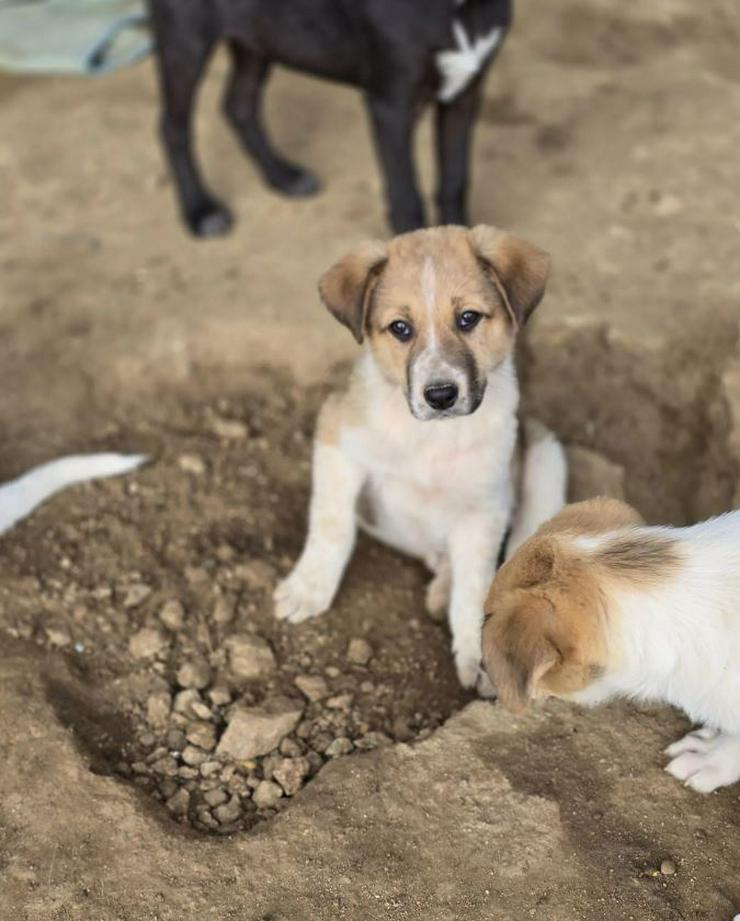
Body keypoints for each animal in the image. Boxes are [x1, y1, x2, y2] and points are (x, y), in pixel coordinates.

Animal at [147, 0, 512, 237]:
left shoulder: (466, 94)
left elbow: (454, 182)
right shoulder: (391, 106)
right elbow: (406, 199)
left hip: (260, 39)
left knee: (238, 105)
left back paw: (283, 175)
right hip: (184, 38)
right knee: (172, 127)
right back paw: (201, 211)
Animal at [274, 225, 564, 688]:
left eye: (468, 318)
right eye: (400, 328)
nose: (441, 395)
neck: (430, 437)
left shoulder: (483, 506)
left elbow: (474, 585)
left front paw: (476, 655)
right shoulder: (337, 439)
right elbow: (332, 526)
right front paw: (309, 588)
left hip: (545, 451)